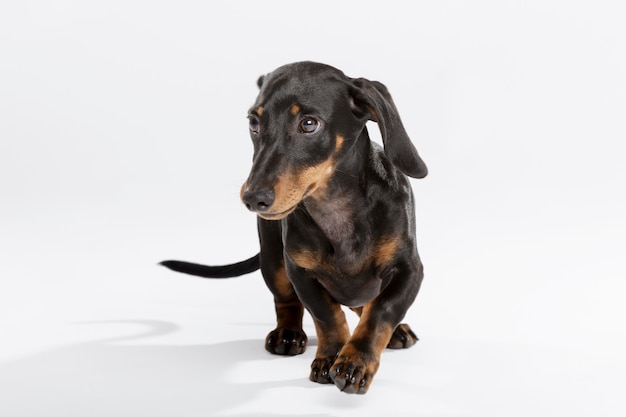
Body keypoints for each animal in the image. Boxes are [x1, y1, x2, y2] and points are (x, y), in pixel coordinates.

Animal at [158, 61, 426, 394]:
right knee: (285, 301)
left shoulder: (409, 271)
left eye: (309, 124)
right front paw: (330, 357)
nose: (253, 199)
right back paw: (287, 334)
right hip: (272, 260)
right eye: (254, 122)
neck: (337, 209)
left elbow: (380, 313)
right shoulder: (299, 271)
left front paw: (355, 363)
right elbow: (327, 316)